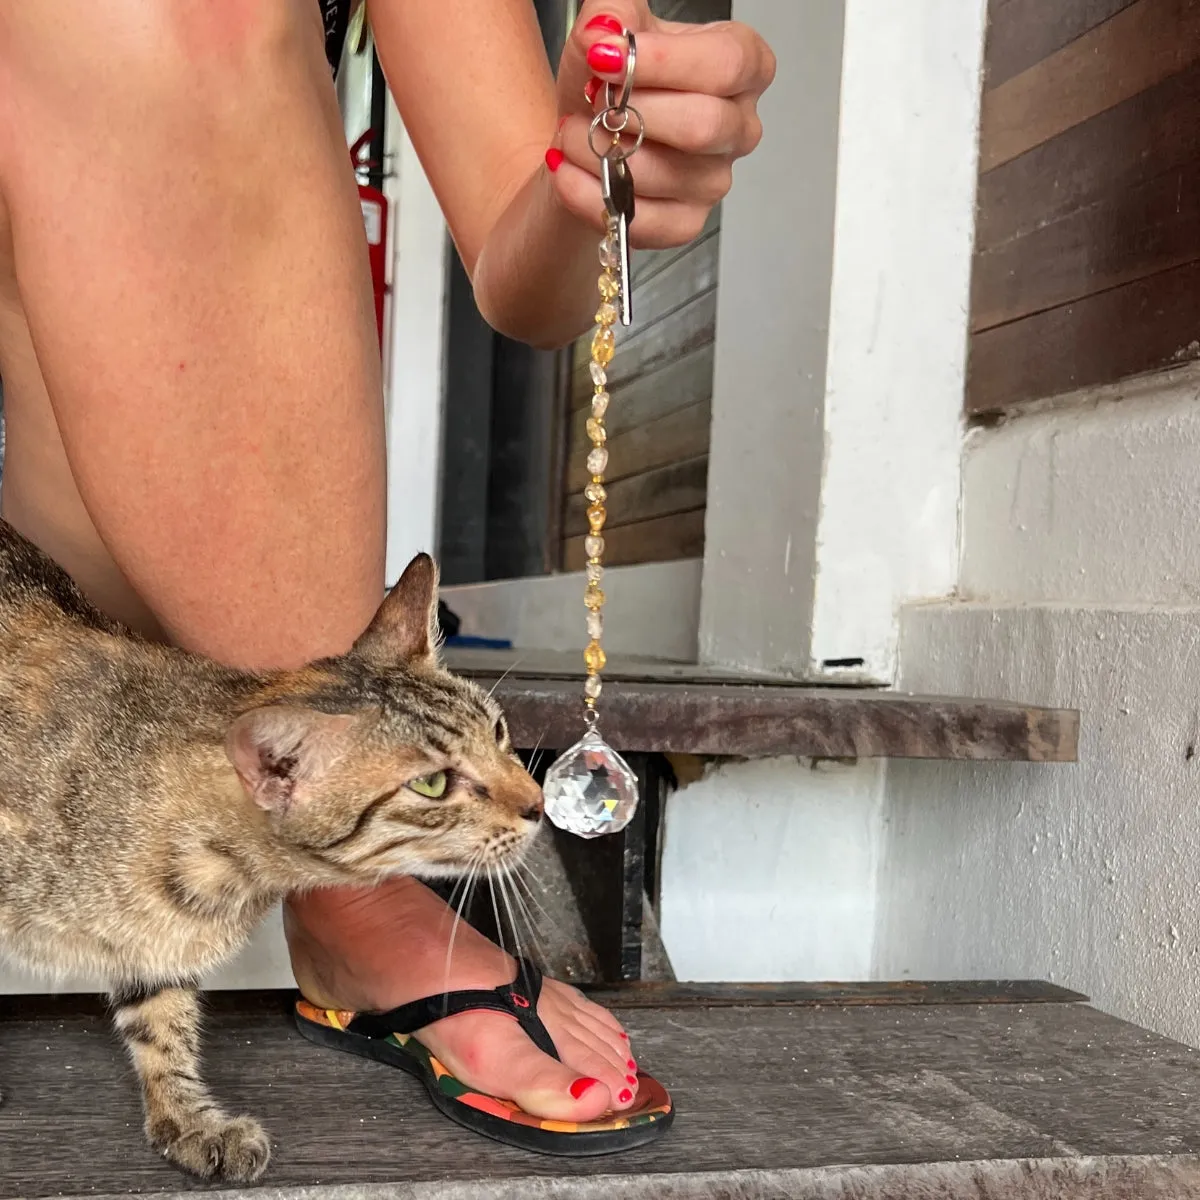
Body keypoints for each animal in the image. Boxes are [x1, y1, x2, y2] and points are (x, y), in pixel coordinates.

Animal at [0, 525, 540, 1180]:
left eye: (500, 733)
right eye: (433, 784)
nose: (539, 804)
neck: (220, 878)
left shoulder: (154, 947)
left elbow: (162, 1026)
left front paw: (187, 1119)